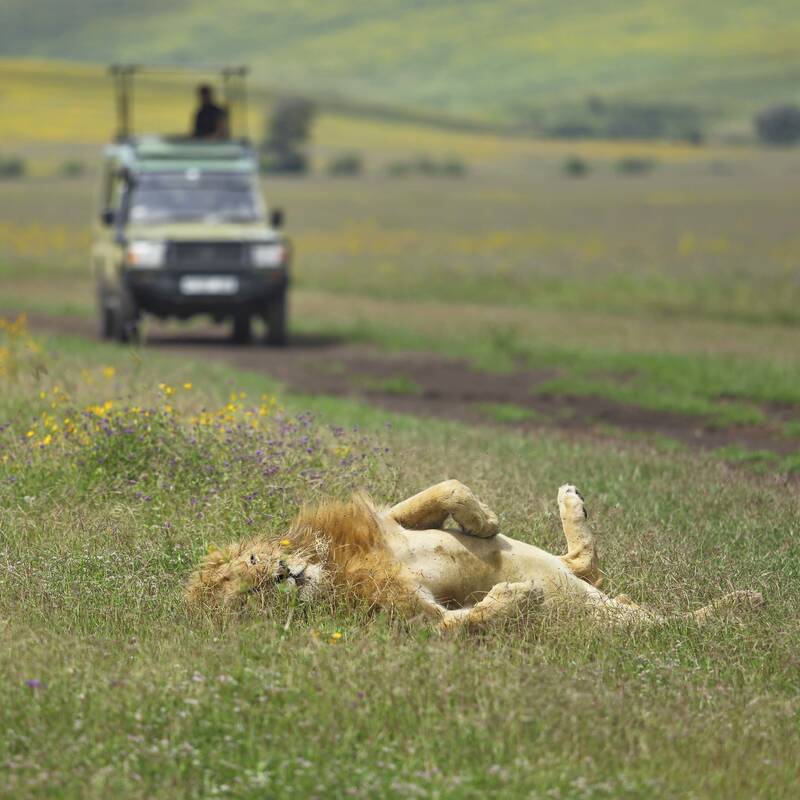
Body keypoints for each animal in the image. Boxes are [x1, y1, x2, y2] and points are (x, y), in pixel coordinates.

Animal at [183, 482, 764, 632]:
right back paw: (744, 602)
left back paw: (571, 499)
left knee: (584, 562)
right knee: (671, 624)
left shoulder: (390, 523)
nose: (282, 575)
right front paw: (517, 595)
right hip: (615, 621)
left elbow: (445, 491)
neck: (332, 568)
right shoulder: (416, 619)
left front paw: (483, 520)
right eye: (247, 601)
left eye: (250, 570)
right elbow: (462, 622)